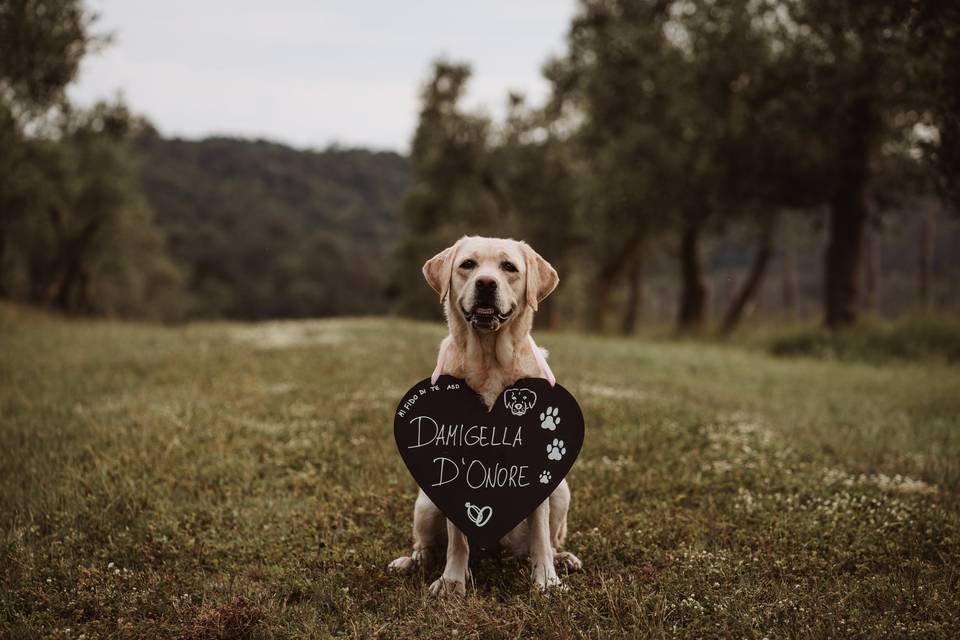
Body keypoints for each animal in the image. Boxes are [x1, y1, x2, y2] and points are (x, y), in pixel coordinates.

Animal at [386, 235, 580, 596]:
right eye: (468, 265)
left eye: (509, 267)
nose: (486, 284)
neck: (490, 360)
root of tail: (496, 550)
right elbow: (457, 541)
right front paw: (452, 581)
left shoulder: (536, 474)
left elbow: (541, 537)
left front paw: (547, 580)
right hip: (425, 502)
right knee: (425, 545)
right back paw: (412, 562)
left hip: (561, 491)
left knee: (548, 539)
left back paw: (562, 559)